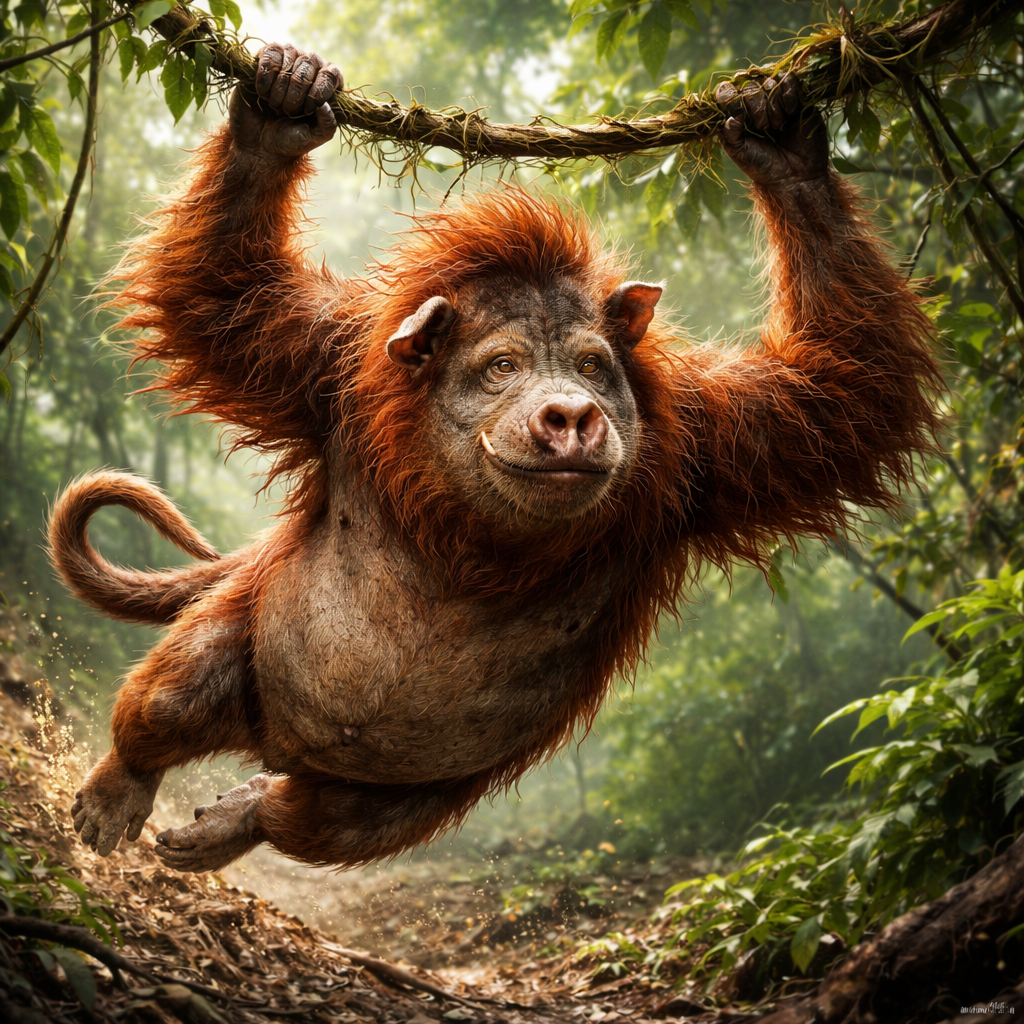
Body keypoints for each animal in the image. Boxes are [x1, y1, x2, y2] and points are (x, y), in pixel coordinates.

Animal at [48, 43, 939, 872]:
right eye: (502, 366)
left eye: (591, 366)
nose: (571, 411)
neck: (480, 537)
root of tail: (276, 744)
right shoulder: (329, 365)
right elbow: (226, 295)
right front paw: (278, 112)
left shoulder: (709, 442)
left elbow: (838, 395)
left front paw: (784, 148)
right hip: (245, 624)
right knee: (174, 699)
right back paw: (122, 783)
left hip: (409, 792)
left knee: (329, 822)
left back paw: (240, 819)